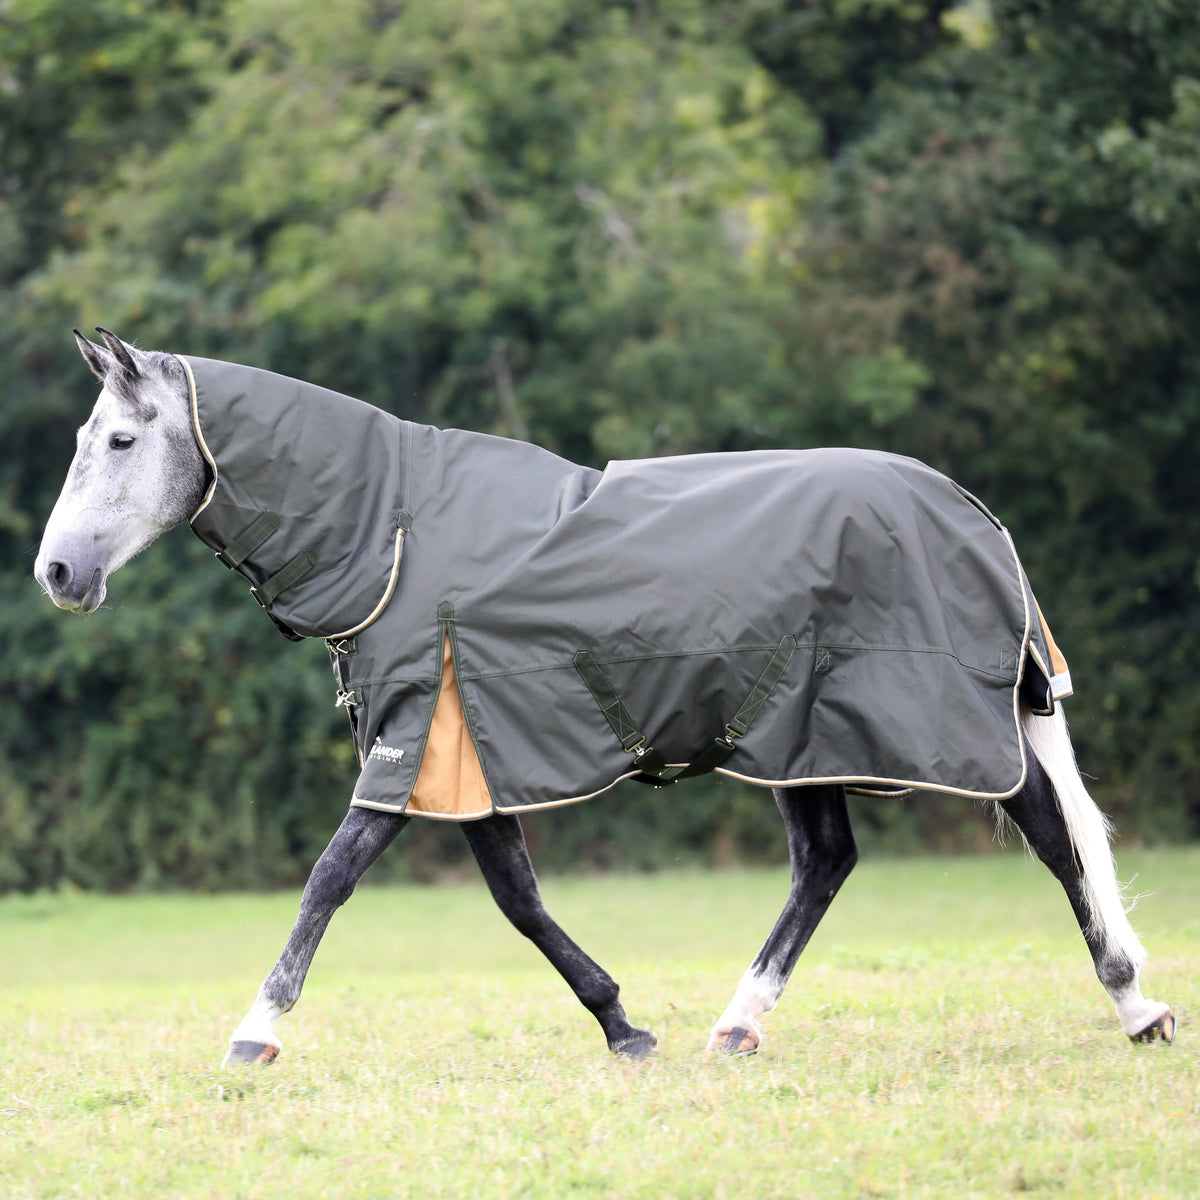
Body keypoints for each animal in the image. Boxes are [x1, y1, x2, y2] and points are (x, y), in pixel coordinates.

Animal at [34, 328, 1176, 1064]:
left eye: (121, 441)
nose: (57, 574)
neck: (397, 530)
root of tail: (971, 511)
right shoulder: (469, 754)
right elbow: (520, 902)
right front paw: (624, 1025)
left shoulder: (413, 747)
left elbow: (329, 881)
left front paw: (254, 1034)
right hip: (799, 739)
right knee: (826, 864)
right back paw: (738, 1024)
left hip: (930, 725)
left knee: (1050, 837)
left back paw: (1136, 1007)